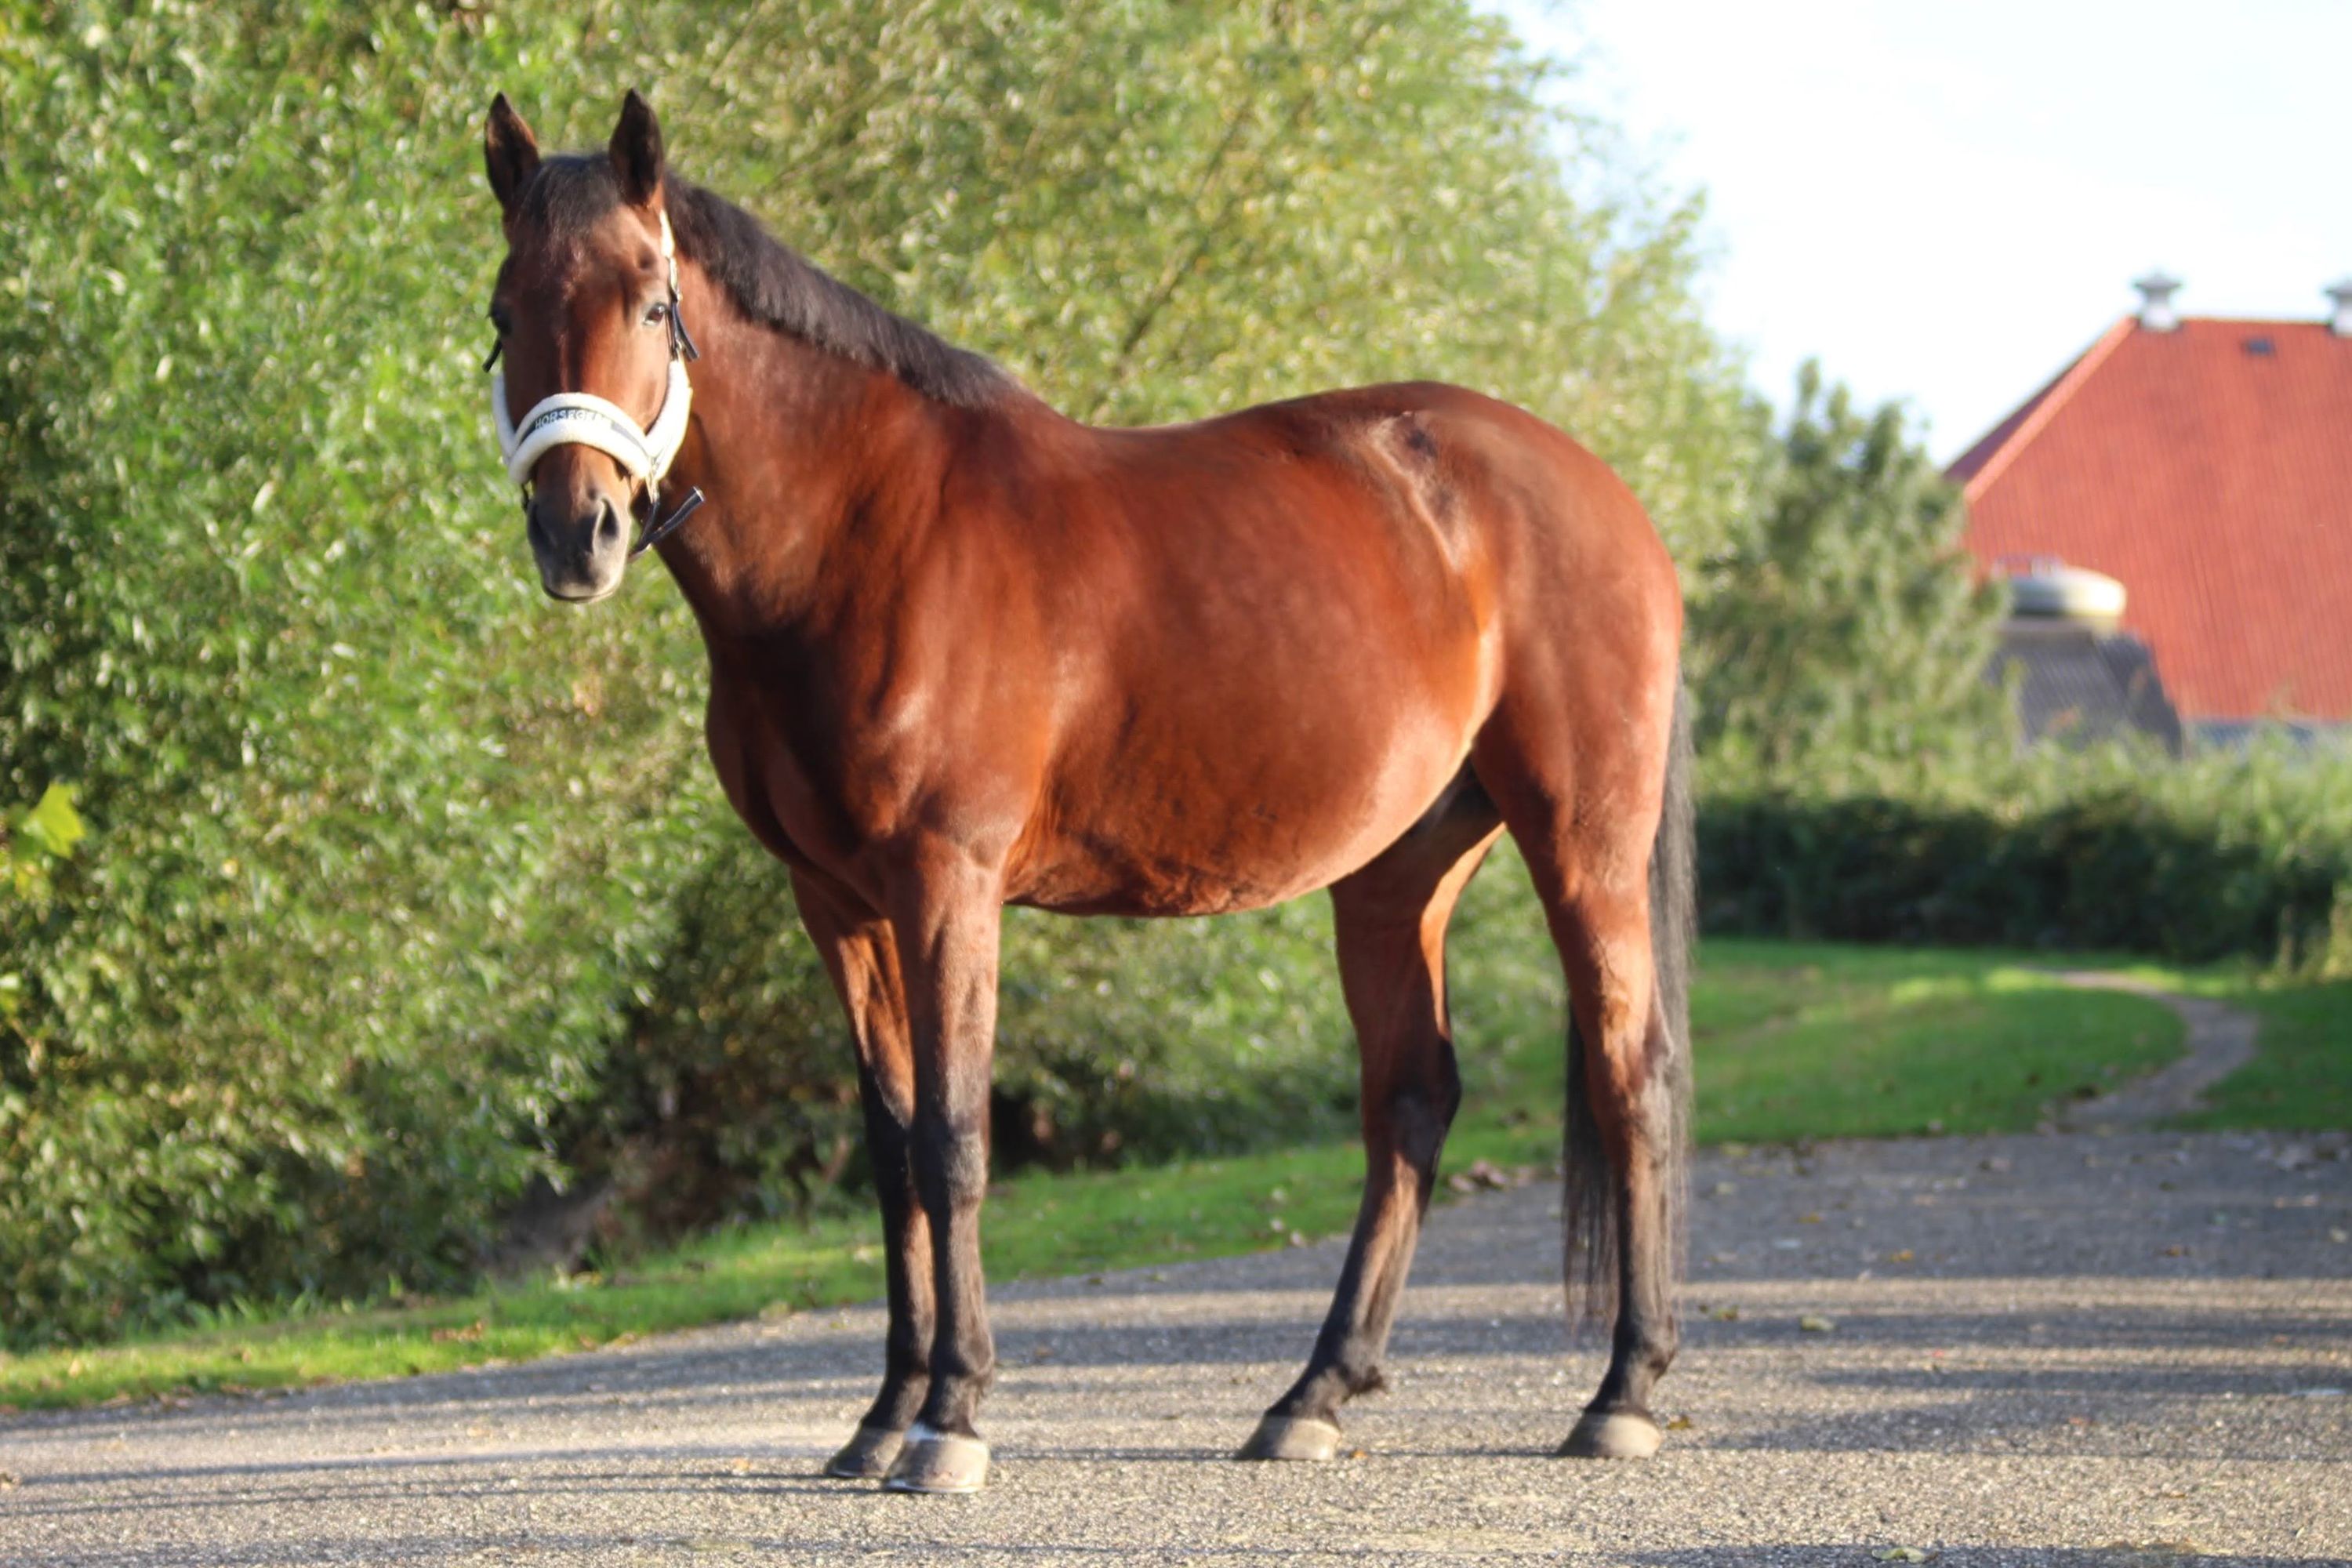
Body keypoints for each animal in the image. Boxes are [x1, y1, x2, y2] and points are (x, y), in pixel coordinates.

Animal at [480, 90, 1694, 1495]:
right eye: (506, 305)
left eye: (651, 302)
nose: (576, 533)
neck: (862, 534)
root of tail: (1609, 499)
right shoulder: (834, 903)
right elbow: (891, 1146)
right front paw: (881, 1416)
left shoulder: (945, 884)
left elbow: (954, 1140)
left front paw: (952, 1418)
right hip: (1401, 873)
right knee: (1411, 1103)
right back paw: (1313, 1398)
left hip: (1583, 843)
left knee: (1631, 1076)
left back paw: (1622, 1392)